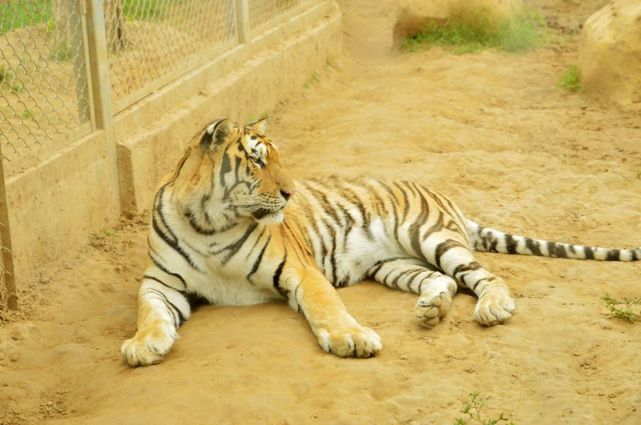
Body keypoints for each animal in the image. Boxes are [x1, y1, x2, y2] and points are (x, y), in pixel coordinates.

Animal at [121, 116, 640, 364]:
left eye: (276, 158)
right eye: (257, 161)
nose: (289, 193)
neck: (209, 223)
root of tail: (446, 198)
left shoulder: (300, 270)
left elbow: (326, 308)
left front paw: (351, 339)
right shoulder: (160, 282)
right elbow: (150, 311)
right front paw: (143, 345)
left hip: (429, 235)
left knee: (485, 277)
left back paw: (491, 308)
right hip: (393, 264)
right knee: (442, 282)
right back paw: (432, 310)